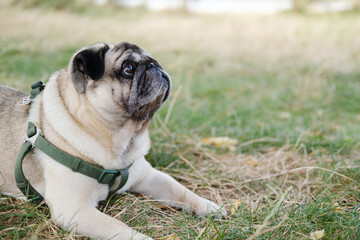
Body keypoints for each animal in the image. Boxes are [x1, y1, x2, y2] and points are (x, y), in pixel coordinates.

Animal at [0, 43, 225, 240]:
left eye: (154, 61)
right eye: (128, 68)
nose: (154, 66)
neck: (120, 140)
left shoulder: (148, 177)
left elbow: (179, 189)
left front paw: (208, 206)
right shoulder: (74, 208)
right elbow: (118, 227)